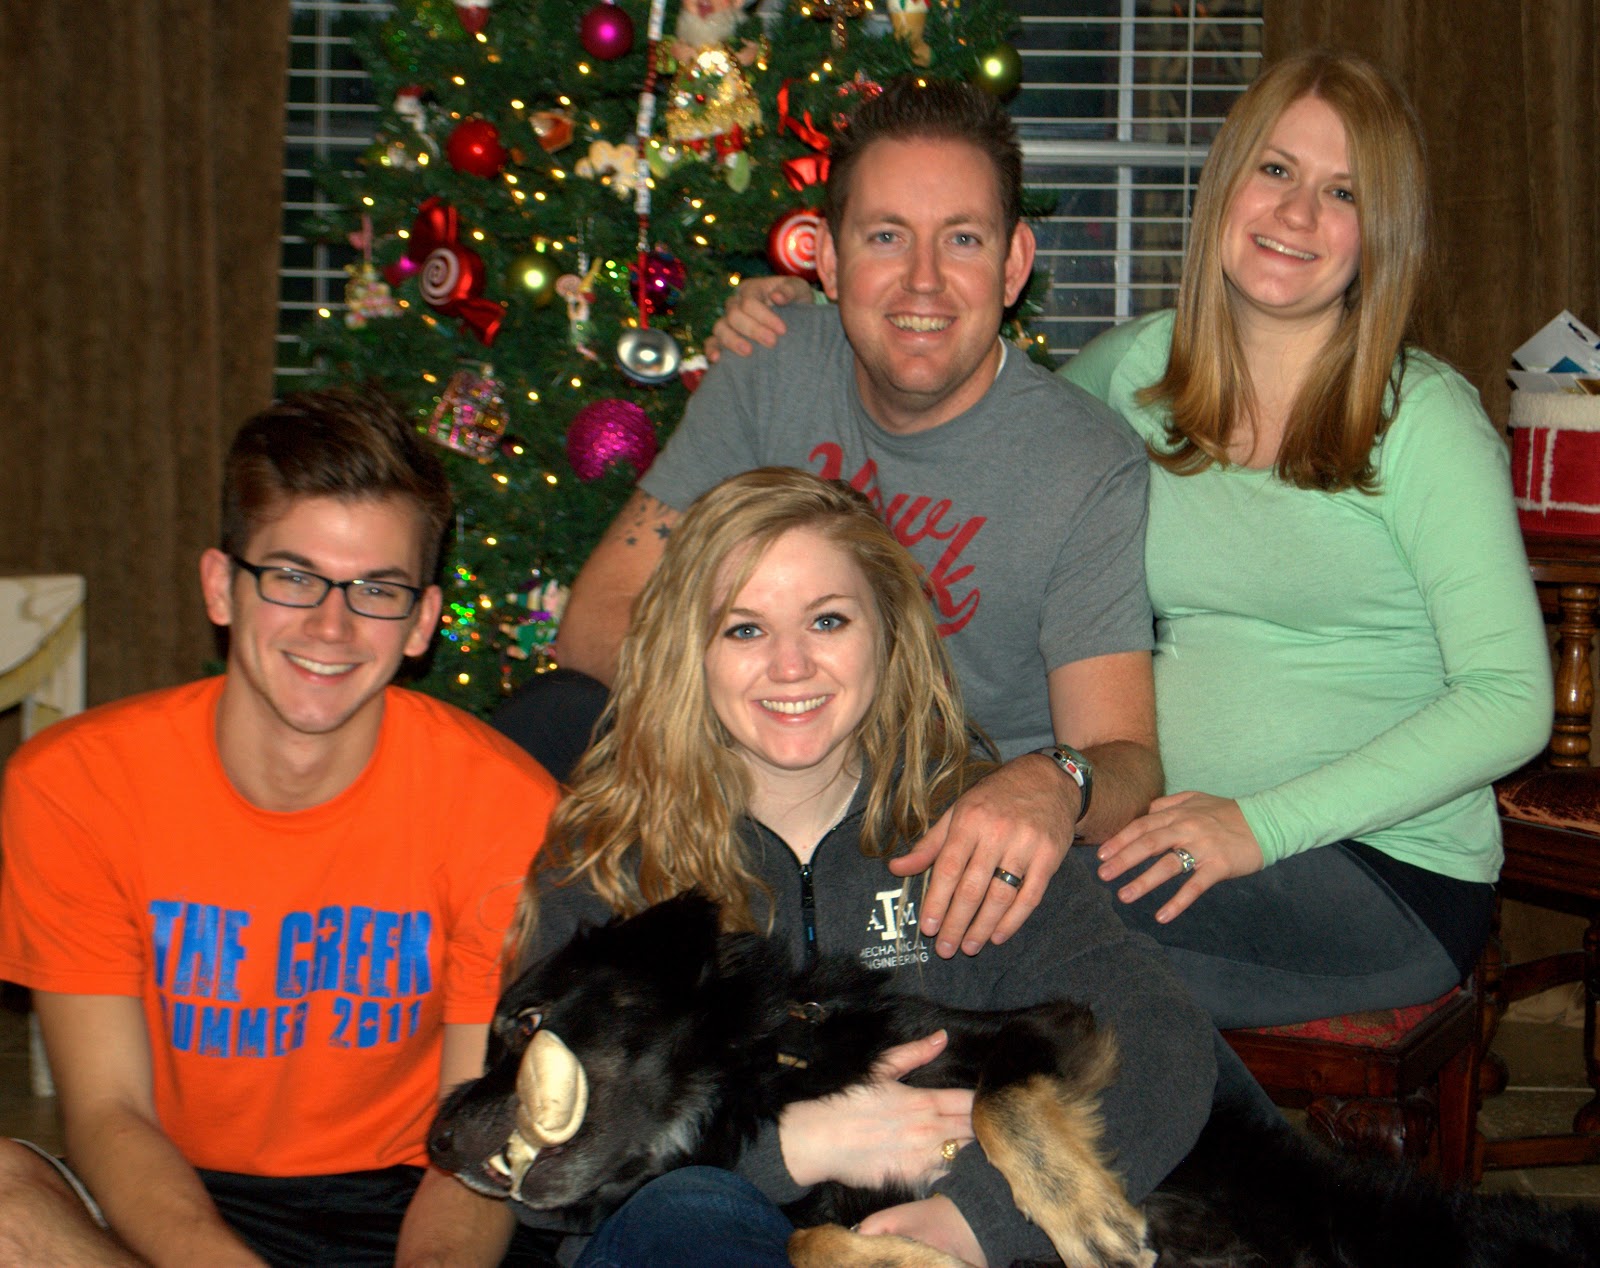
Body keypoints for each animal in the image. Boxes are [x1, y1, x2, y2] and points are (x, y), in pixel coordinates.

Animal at [429, 893, 1600, 1267]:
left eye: (525, 1021)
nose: (435, 1144)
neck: (771, 1065)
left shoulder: (1053, 1029)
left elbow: (998, 1106)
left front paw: (1084, 1214)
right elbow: (812, 1240)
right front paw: (910, 1254)